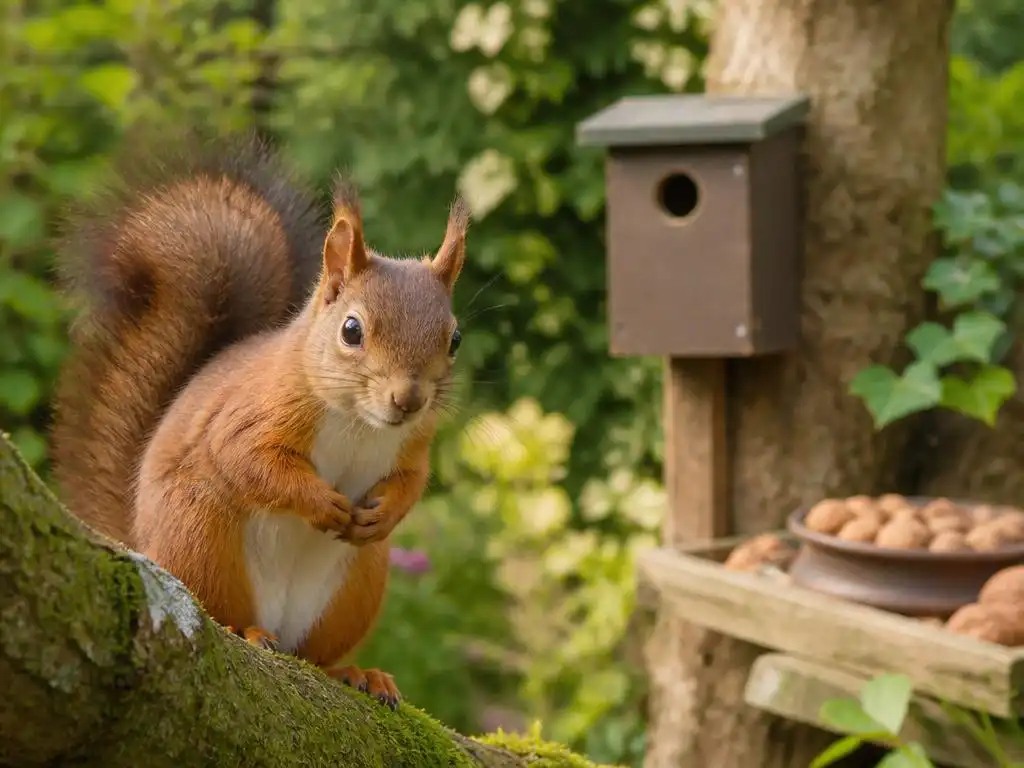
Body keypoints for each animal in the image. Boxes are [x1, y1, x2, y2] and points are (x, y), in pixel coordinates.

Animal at [50, 131, 469, 709]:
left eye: (455, 339)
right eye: (352, 330)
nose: (408, 400)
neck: (360, 423)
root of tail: (142, 543)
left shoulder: (414, 445)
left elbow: (411, 482)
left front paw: (382, 512)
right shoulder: (251, 413)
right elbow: (249, 460)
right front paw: (321, 502)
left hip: (356, 585)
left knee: (315, 654)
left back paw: (355, 673)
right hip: (200, 537)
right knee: (223, 612)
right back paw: (246, 631)